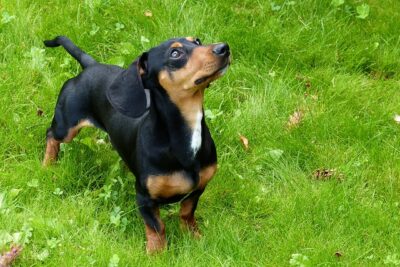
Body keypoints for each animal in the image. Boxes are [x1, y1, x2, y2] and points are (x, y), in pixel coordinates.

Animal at [42, 36, 230, 253]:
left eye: (197, 41)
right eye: (175, 53)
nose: (224, 48)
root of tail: (91, 65)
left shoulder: (197, 189)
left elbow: (186, 213)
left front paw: (194, 236)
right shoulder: (144, 198)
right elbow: (157, 227)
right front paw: (157, 253)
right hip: (66, 126)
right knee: (51, 135)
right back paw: (48, 163)